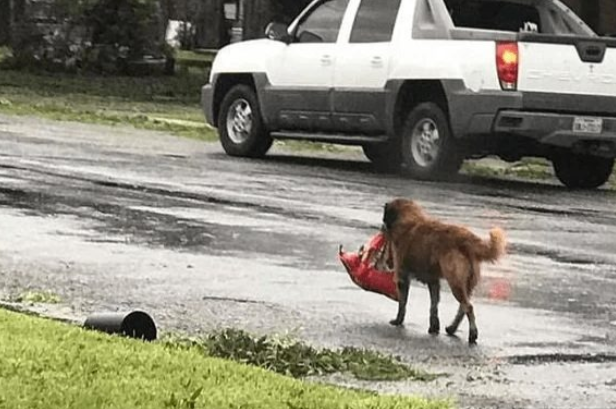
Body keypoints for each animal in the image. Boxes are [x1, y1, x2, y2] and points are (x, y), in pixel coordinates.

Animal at [382, 197, 508, 342]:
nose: (382, 227)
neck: (410, 219)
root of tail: (466, 238)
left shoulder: (403, 277)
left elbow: (403, 303)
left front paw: (398, 321)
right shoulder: (433, 281)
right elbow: (434, 306)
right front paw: (434, 327)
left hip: (455, 282)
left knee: (468, 307)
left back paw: (472, 333)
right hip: (466, 284)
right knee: (463, 308)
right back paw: (452, 328)